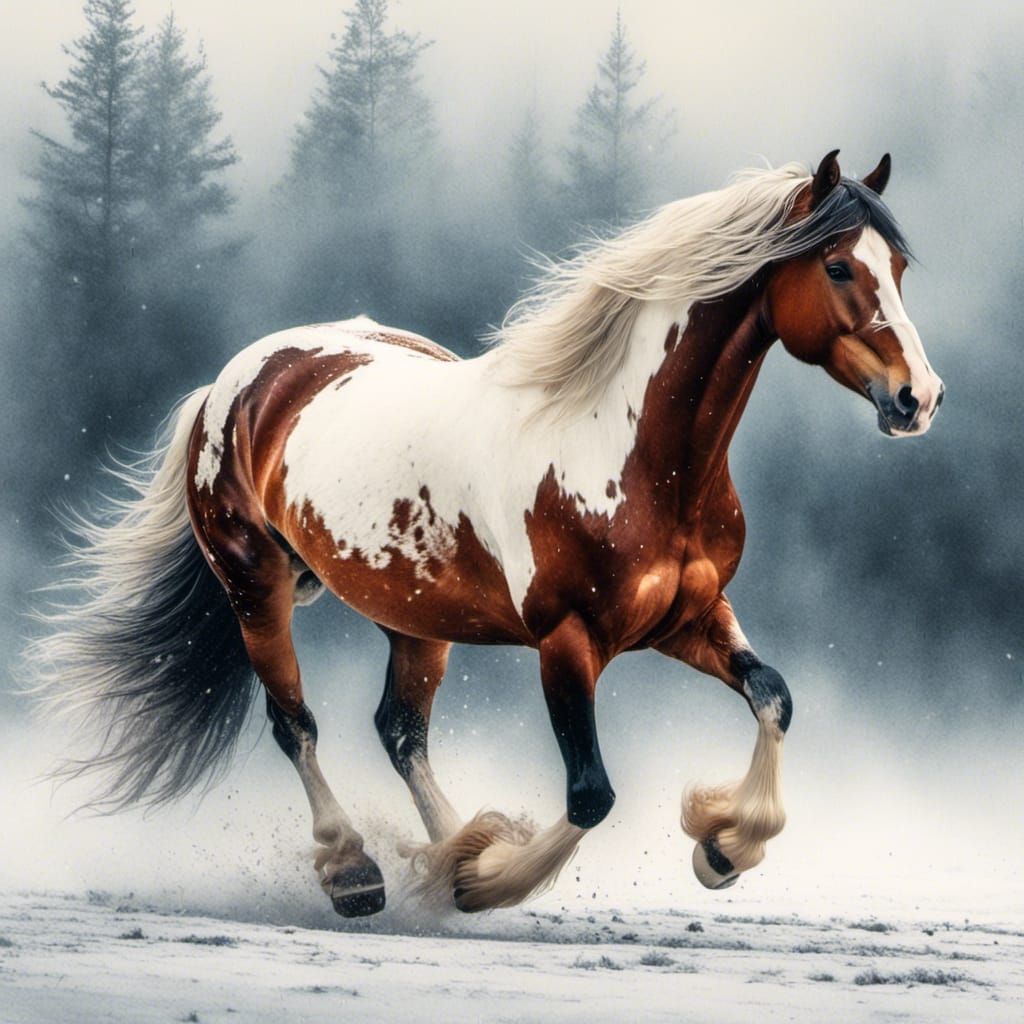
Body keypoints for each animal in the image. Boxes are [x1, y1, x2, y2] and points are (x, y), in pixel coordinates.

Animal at [28, 150, 943, 917]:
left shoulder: (689, 618)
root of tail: (234, 382)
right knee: (298, 727)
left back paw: (448, 846)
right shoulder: (568, 640)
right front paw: (489, 880)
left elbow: (774, 697)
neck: (631, 448)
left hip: (415, 618)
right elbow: (590, 795)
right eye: (837, 266)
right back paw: (358, 872)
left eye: (898, 266)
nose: (919, 398)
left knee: (400, 732)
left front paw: (722, 847)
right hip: (257, 587)